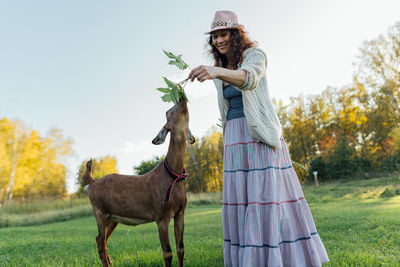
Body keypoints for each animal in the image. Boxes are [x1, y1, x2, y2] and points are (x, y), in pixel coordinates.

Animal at [82, 99, 195, 266]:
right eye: (169, 111)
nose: (182, 98)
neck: (172, 175)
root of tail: (92, 182)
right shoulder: (161, 216)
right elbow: (167, 253)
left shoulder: (180, 213)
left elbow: (180, 249)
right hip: (99, 212)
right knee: (101, 241)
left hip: (113, 217)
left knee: (101, 240)